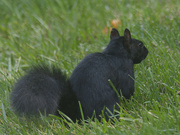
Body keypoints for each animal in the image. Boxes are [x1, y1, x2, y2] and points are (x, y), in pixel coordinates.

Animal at [9, 28, 148, 121]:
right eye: (140, 44)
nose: (147, 52)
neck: (114, 53)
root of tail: (79, 114)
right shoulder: (125, 71)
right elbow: (127, 91)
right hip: (109, 103)